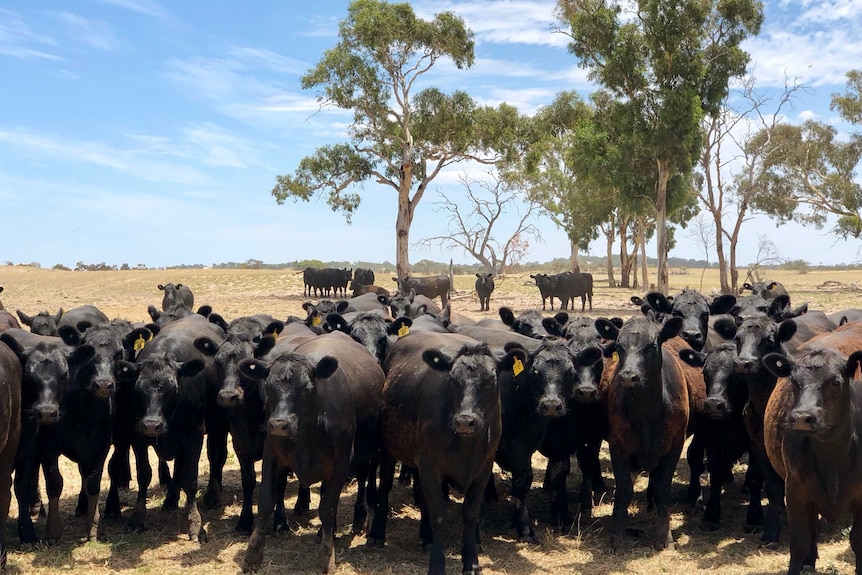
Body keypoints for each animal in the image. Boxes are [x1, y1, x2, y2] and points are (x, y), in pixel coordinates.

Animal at [238, 330, 384, 572]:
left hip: (367, 453)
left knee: (363, 481)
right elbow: (266, 502)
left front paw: (327, 557)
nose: (278, 424)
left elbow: (327, 509)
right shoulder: (272, 453)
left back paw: (358, 520)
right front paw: (252, 555)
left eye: (306, 389)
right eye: (268, 387)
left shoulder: (342, 462)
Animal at [368, 330, 502, 575]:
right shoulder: (430, 466)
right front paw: (437, 565)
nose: (465, 421)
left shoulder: (483, 469)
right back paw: (377, 533)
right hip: (389, 448)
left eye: (491, 380)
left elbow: (470, 515)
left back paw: (426, 536)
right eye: (453, 380)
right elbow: (439, 515)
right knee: (385, 487)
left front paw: (471, 562)